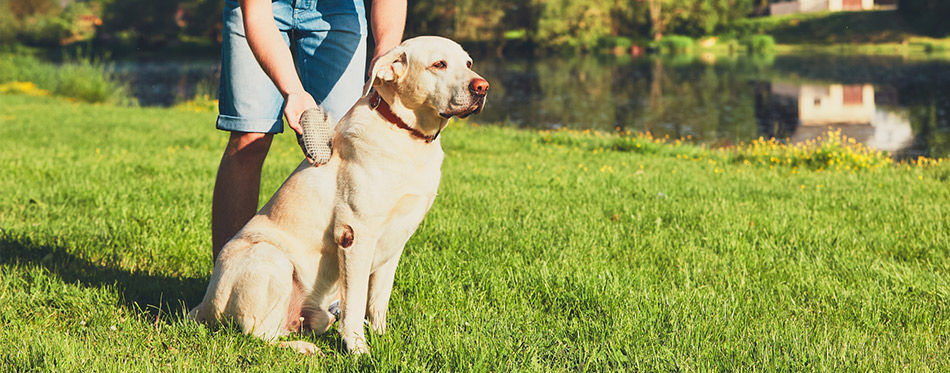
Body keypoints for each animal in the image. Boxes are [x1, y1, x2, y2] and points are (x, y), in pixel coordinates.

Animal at [191, 37, 494, 354]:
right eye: (439, 64)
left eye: (468, 63)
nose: (482, 87)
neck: (405, 134)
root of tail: (201, 308)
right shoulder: (354, 234)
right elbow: (356, 303)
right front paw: (359, 350)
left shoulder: (396, 240)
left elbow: (378, 300)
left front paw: (382, 338)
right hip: (270, 257)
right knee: (256, 334)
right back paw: (304, 348)